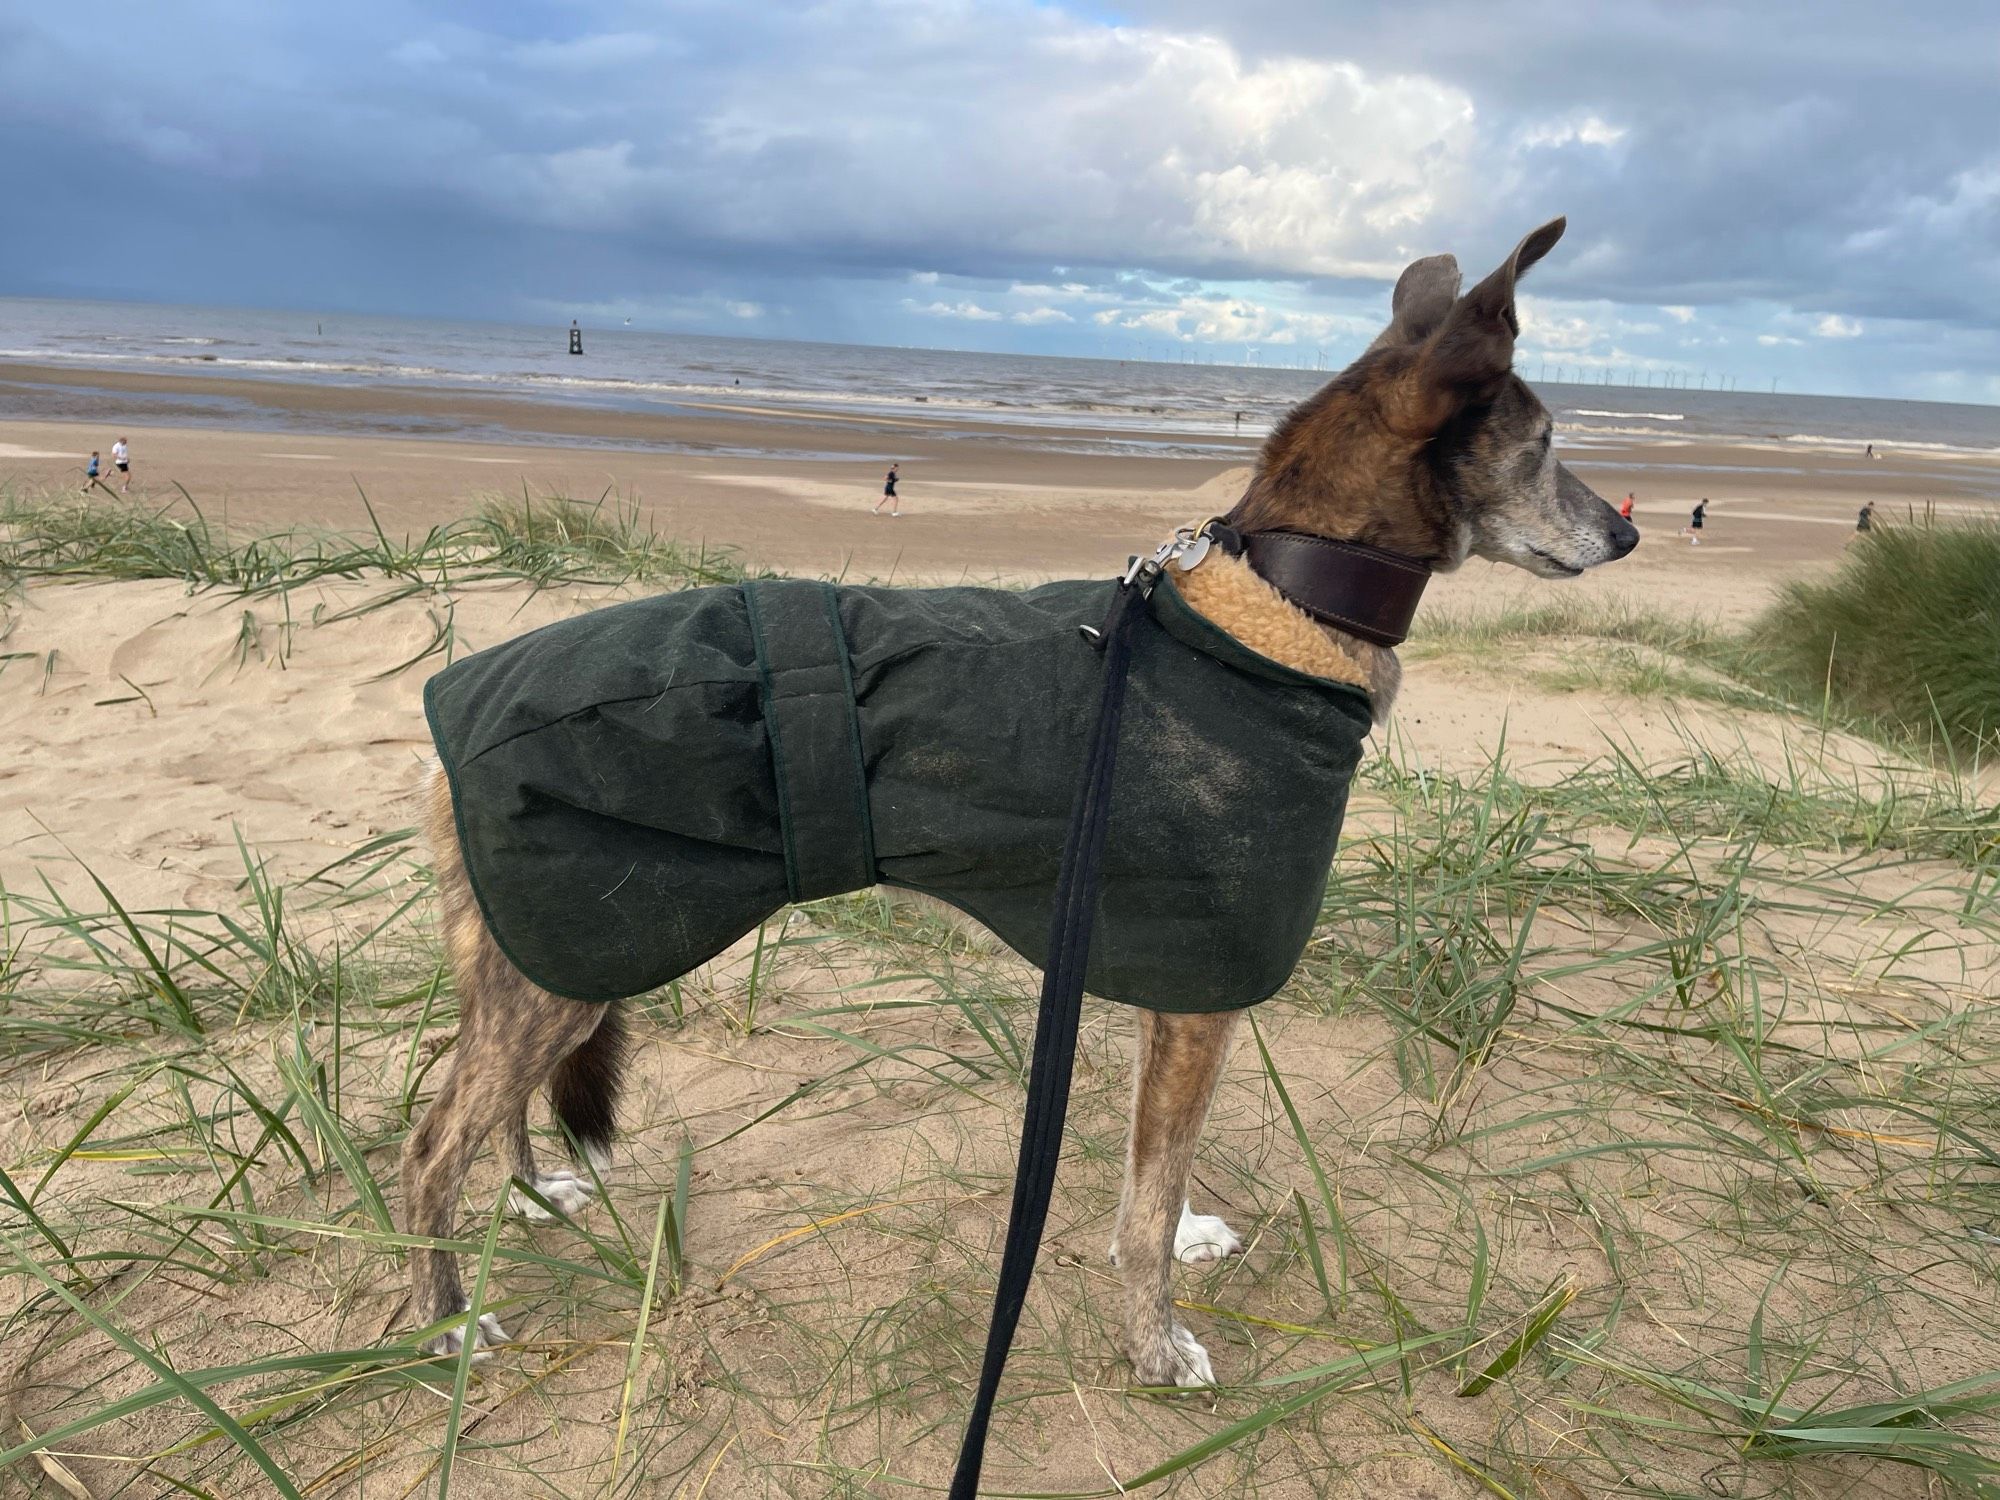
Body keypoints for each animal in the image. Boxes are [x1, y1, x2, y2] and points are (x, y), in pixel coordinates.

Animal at [406, 214, 1640, 1384]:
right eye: (1543, 445)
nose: (1627, 529)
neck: (1278, 606)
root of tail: (444, 723)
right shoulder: (1203, 997)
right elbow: (1148, 1200)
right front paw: (1153, 1343)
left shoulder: (1166, 983)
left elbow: (1149, 1181)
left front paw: (1179, 1242)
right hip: (561, 965)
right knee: (429, 1145)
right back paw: (448, 1323)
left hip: (550, 965)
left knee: (484, 1108)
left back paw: (531, 1199)